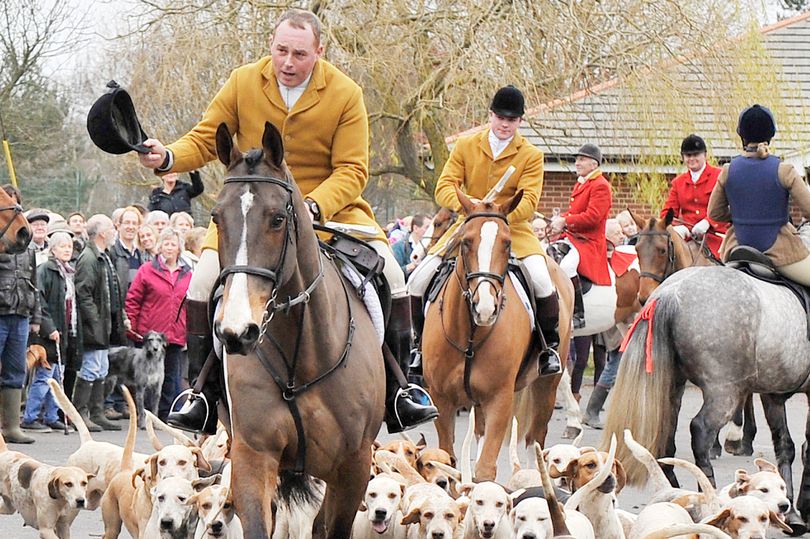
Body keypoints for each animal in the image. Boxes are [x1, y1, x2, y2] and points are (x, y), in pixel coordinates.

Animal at [211, 123, 382, 539]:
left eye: (277, 219)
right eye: (216, 217)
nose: (237, 332)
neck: (301, 360)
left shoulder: (353, 467)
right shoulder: (253, 457)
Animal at [420, 187, 572, 480]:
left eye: (507, 243)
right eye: (466, 242)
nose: (485, 307)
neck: (469, 333)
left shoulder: (500, 400)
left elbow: (486, 469)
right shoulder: (441, 400)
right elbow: (448, 459)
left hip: (546, 386)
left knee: (535, 440)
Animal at [604, 260, 808, 532]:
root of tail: (670, 292)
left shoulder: (772, 393)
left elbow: (786, 445)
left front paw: (792, 511)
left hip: (675, 390)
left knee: (668, 440)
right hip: (723, 392)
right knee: (700, 430)